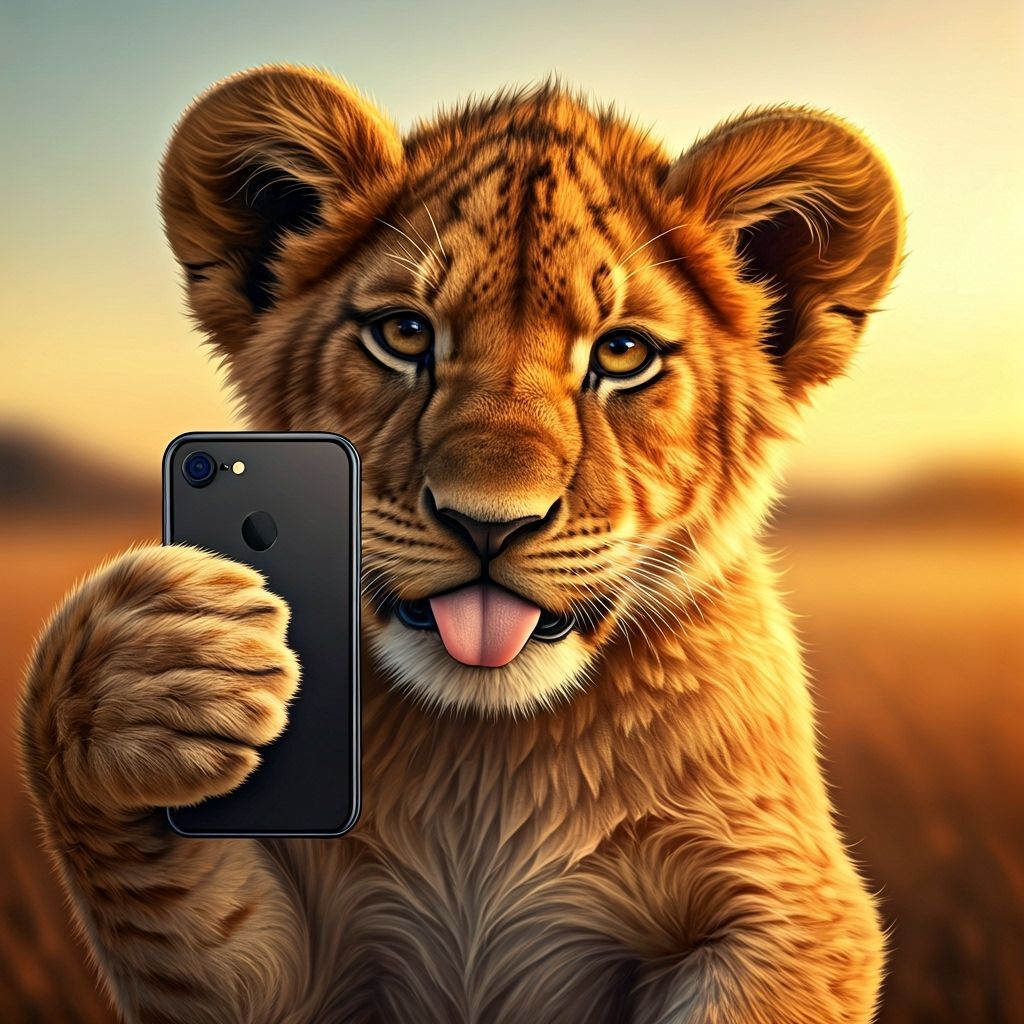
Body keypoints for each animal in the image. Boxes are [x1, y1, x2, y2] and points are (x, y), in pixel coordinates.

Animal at [18, 66, 904, 1023]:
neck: (484, 761)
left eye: (623, 353)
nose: (490, 521)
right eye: (404, 334)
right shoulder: (281, 971)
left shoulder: (794, 907)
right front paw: (156, 677)